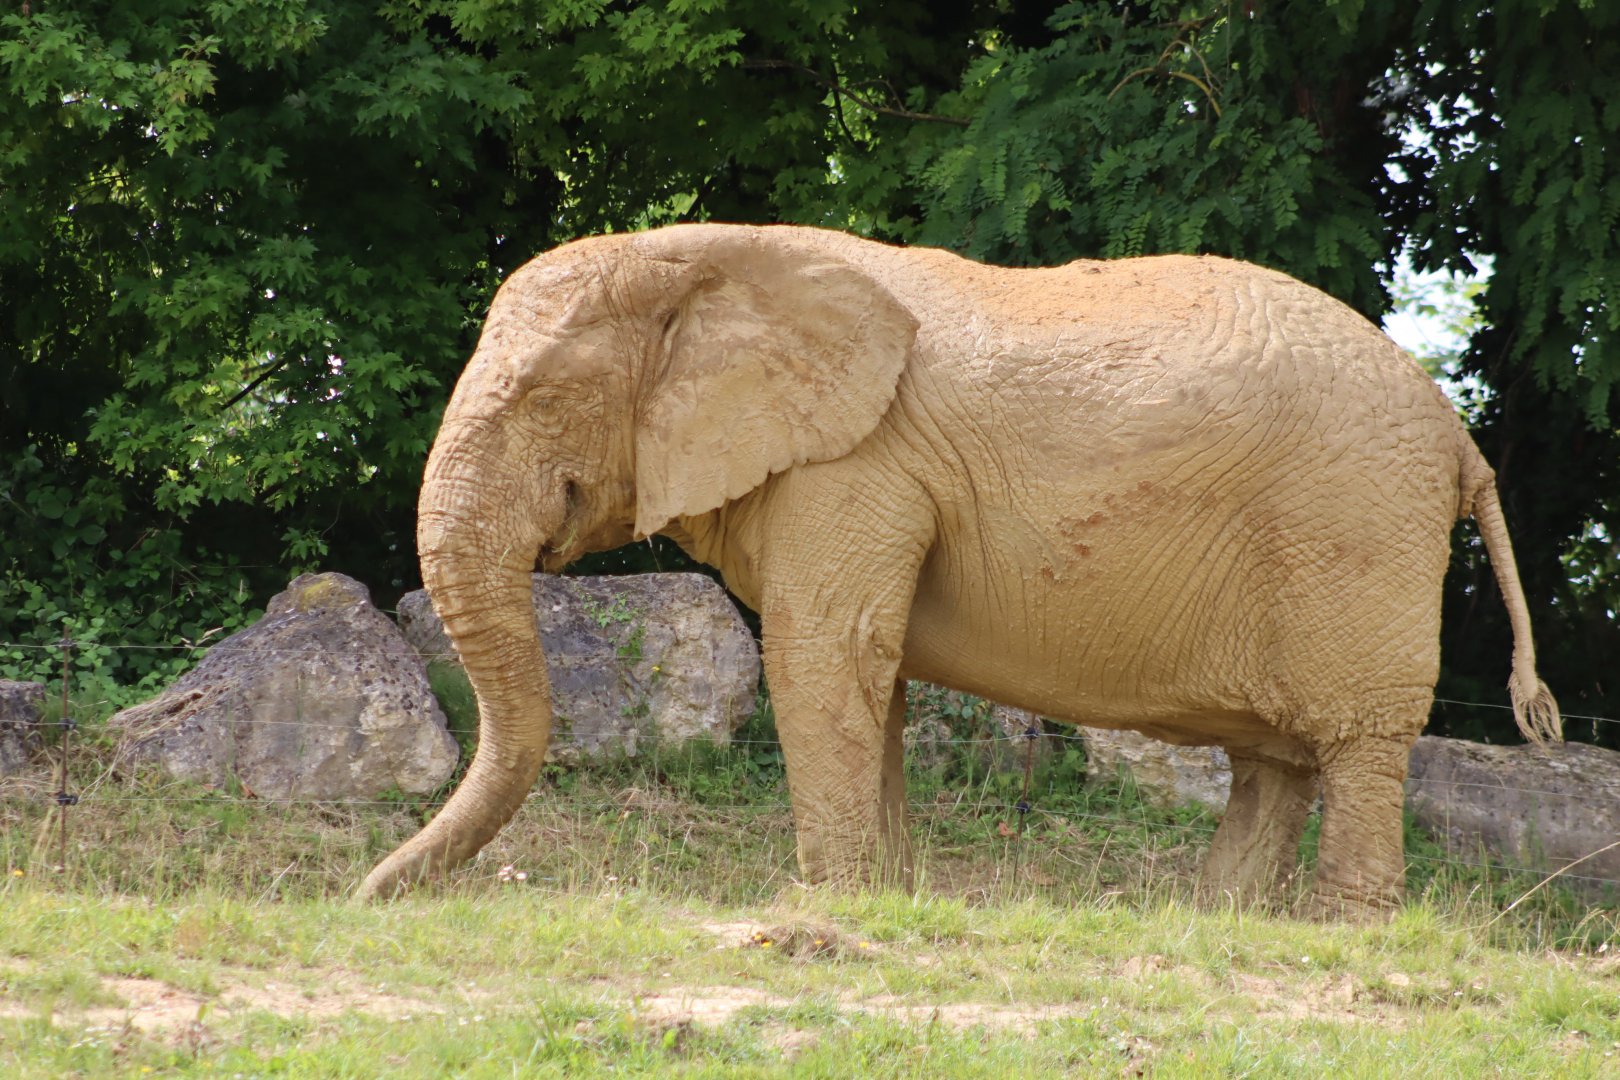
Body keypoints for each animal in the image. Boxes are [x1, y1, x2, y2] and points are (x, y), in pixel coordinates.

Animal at [357, 223, 1560, 919]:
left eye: (545, 397)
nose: (363, 899)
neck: (710, 259)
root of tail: (1462, 441)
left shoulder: (857, 463)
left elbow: (824, 651)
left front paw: (832, 903)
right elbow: (869, 671)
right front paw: (890, 898)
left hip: (1355, 530)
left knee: (1355, 743)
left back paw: (1338, 931)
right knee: (1277, 759)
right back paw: (1214, 924)